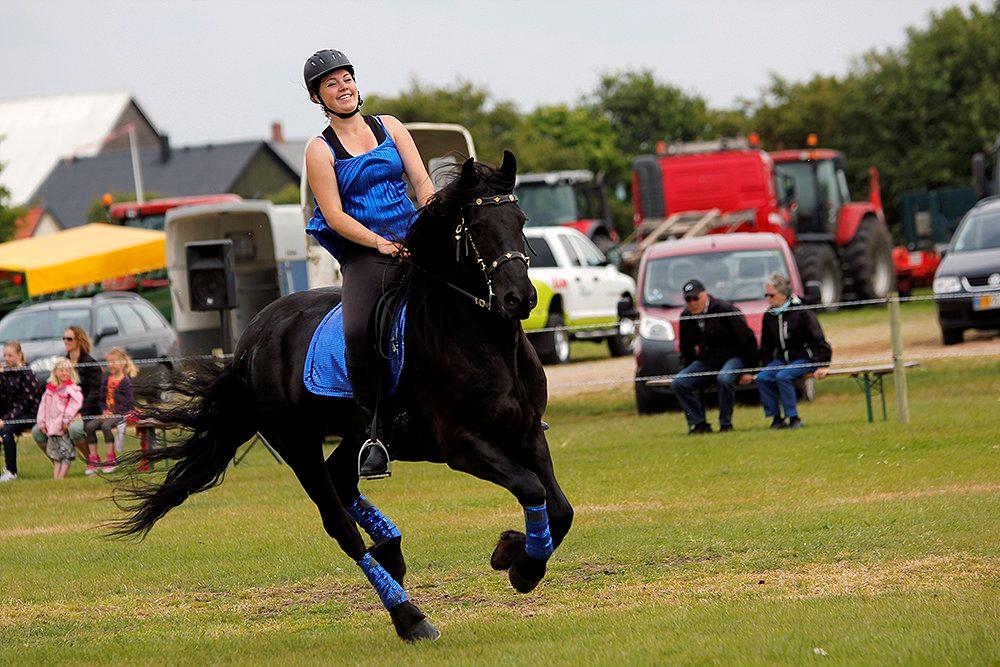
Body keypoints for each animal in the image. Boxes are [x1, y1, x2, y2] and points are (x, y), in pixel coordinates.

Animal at [111, 151, 572, 640]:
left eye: (520, 221)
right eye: (478, 228)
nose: (519, 299)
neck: (489, 343)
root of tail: (251, 338)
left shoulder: (527, 433)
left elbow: (559, 507)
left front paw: (516, 555)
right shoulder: (463, 445)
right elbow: (530, 487)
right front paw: (521, 564)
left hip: (357, 437)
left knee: (344, 478)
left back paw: (391, 548)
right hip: (298, 446)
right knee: (340, 524)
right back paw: (409, 616)